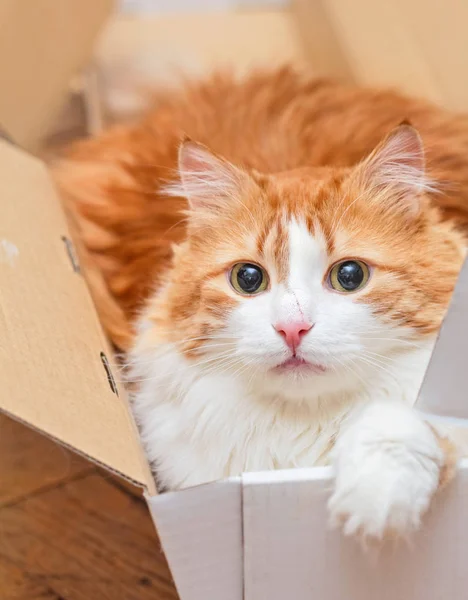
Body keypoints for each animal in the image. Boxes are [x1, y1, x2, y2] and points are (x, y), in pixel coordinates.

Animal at [54, 68, 468, 540]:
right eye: (248, 279)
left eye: (350, 276)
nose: (293, 328)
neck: (305, 427)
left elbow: (403, 420)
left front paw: (375, 495)